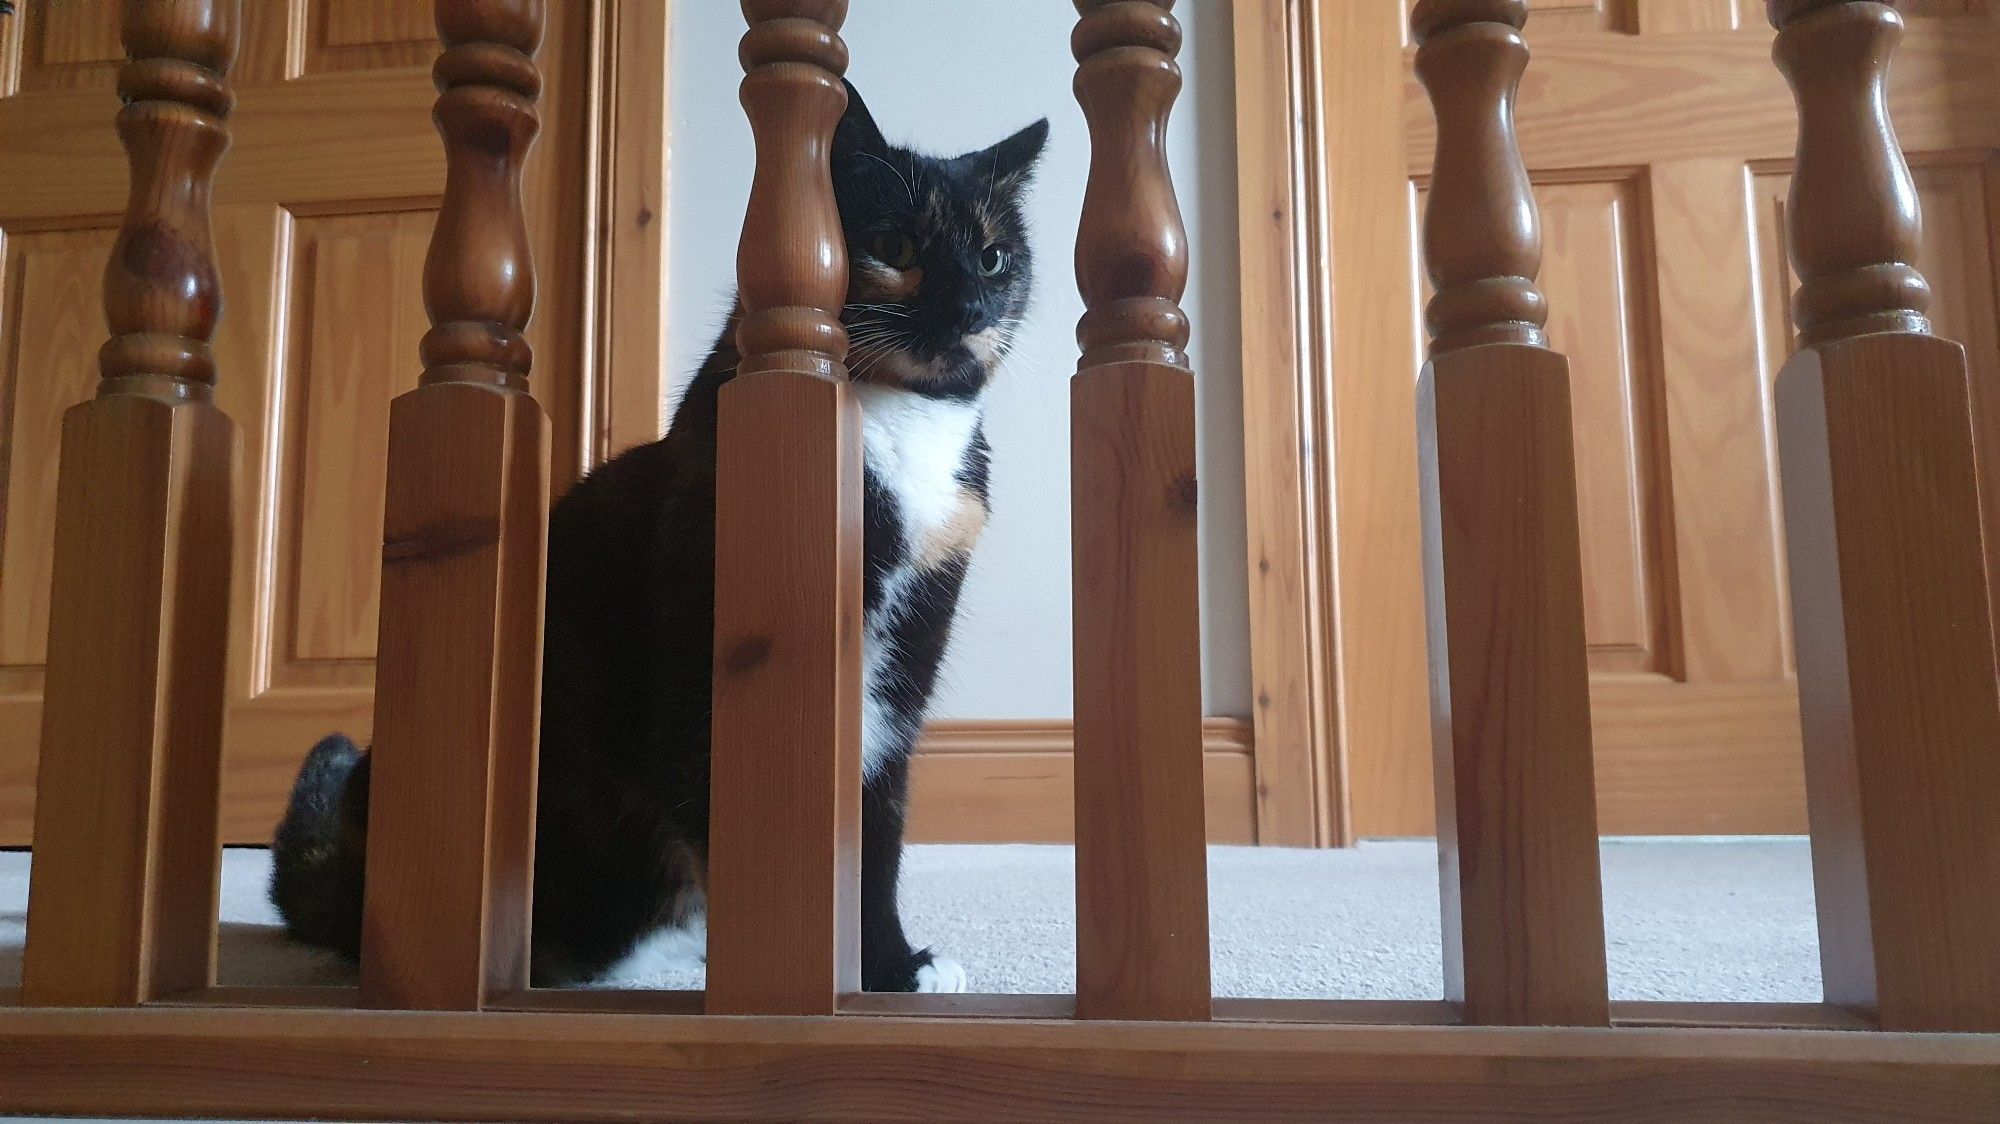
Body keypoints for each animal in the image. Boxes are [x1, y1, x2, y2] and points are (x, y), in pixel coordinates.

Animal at [276, 81, 1056, 988]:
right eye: (894, 243)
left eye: (995, 257)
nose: (970, 305)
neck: (902, 426)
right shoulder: (702, 661)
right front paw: (801, 964)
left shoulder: (905, 663)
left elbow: (877, 826)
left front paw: (891, 969)